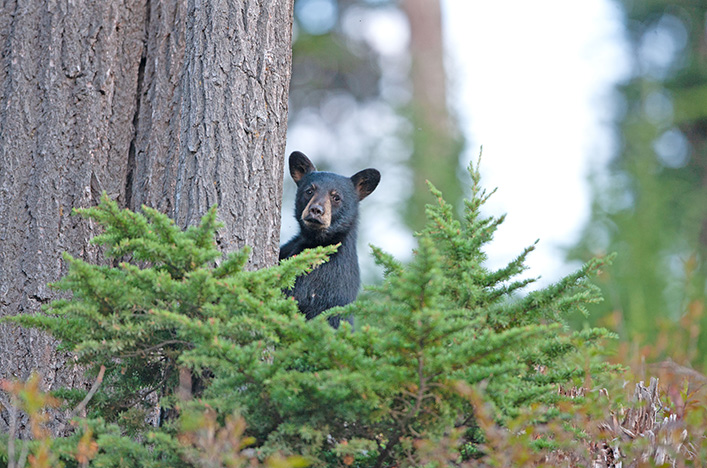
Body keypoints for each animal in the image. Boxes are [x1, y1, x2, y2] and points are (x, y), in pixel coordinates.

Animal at [279, 151, 380, 328]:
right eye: (309, 191)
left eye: (336, 197)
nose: (316, 210)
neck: (319, 241)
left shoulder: (323, 275)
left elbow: (291, 293)